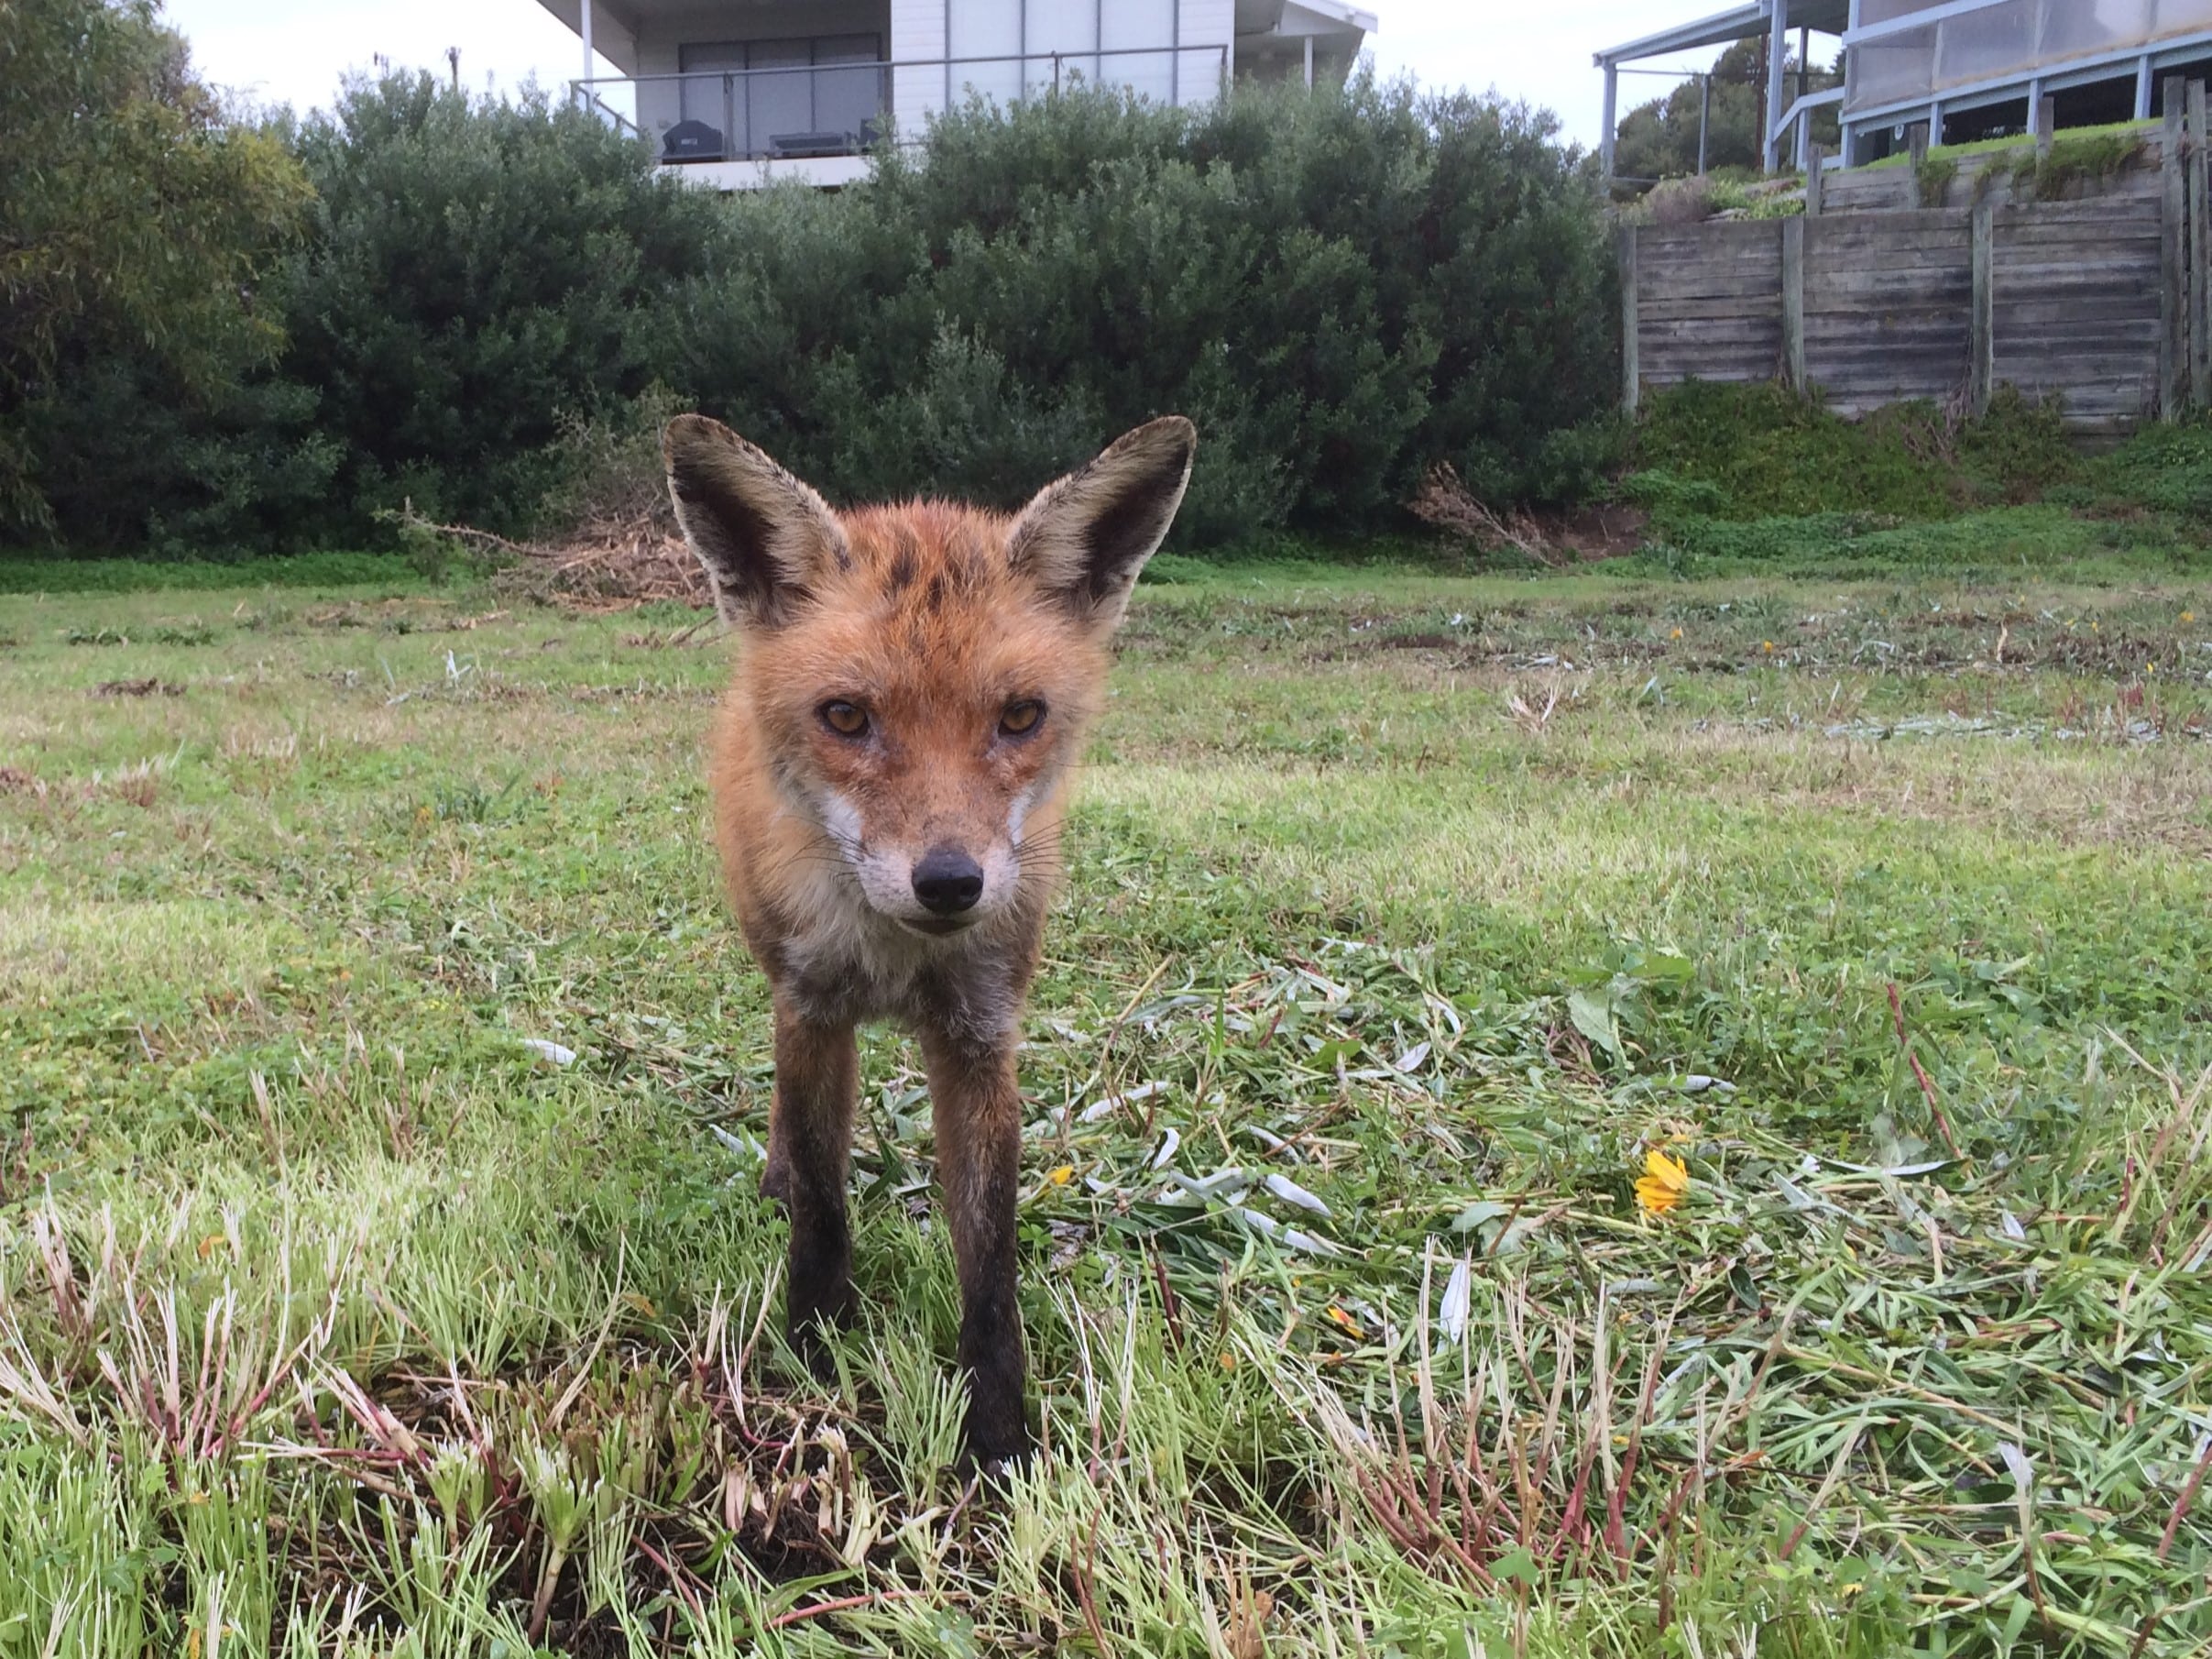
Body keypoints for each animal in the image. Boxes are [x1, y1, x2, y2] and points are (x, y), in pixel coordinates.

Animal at [663, 413, 1203, 1468]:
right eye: (845, 717)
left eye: (1021, 716)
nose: (951, 882)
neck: (895, 956)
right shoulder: (815, 1008)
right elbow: (825, 1204)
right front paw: (812, 1349)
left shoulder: (980, 1035)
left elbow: (989, 1255)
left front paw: (998, 1437)